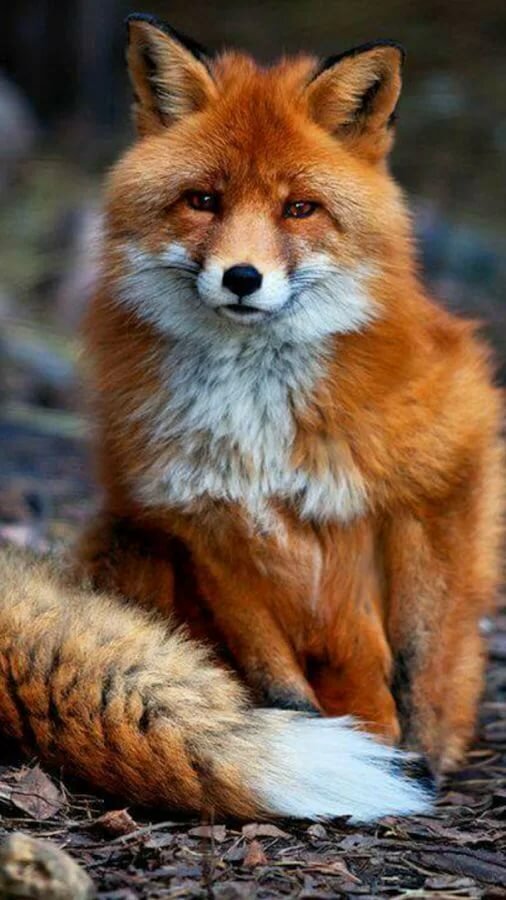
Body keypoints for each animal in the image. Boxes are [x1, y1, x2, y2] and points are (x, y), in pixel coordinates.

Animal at [0, 12, 502, 823]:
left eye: (299, 208)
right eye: (204, 200)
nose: (242, 278)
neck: (256, 419)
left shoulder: (439, 465)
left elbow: (417, 651)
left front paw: (419, 755)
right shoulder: (200, 521)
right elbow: (277, 681)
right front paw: (325, 748)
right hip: (128, 540)